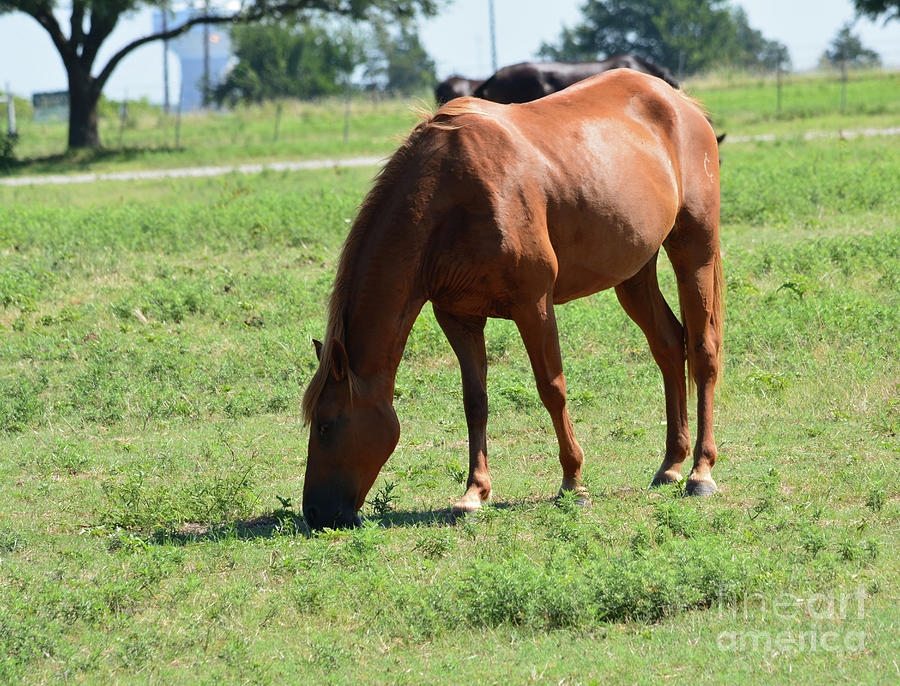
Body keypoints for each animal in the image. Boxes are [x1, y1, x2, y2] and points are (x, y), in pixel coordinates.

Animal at [302, 68, 724, 532]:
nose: (315, 513)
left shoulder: (533, 305)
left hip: (694, 252)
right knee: (668, 345)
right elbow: (475, 401)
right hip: (633, 273)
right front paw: (474, 493)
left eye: (326, 425)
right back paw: (670, 464)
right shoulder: (458, 316)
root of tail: (680, 103)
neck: (451, 194)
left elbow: (552, 388)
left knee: (702, 351)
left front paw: (573, 483)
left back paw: (700, 472)